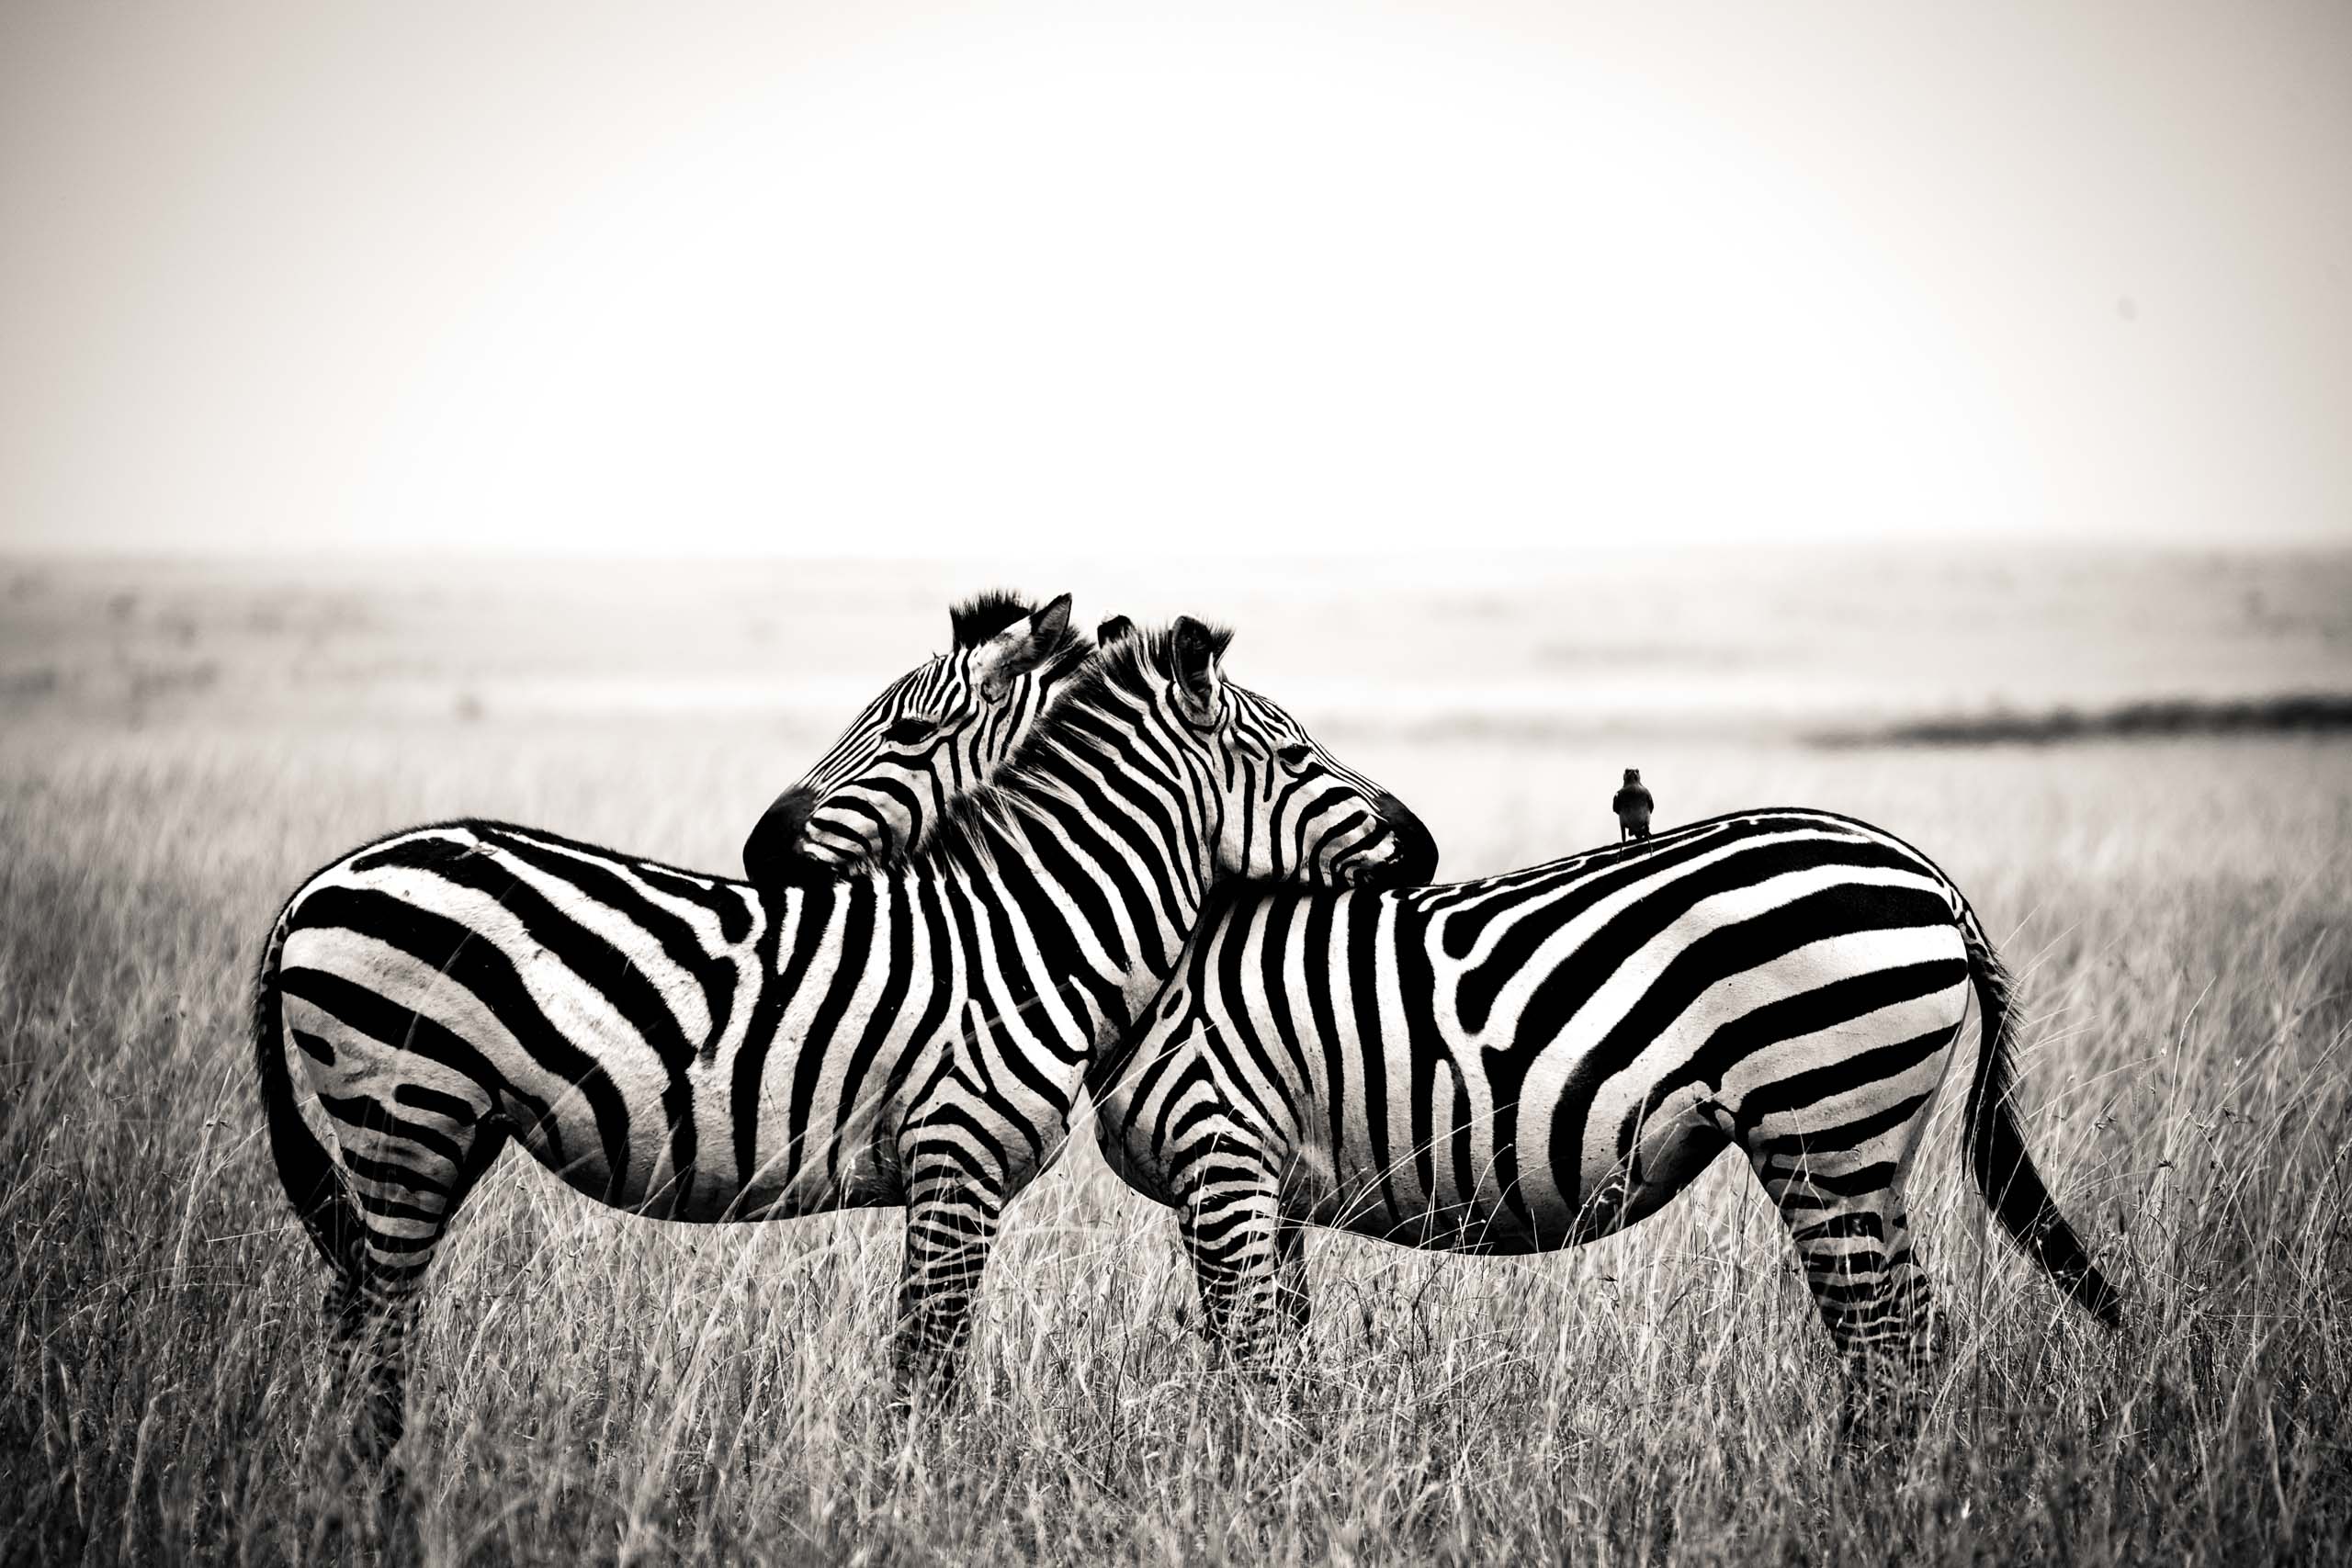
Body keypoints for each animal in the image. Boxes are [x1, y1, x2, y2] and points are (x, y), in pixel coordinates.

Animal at [252, 616, 1435, 1459]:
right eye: (1297, 753)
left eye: (905, 731)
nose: (1420, 846)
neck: (1033, 929)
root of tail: (318, 882)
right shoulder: (956, 1162)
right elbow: (928, 1366)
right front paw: (919, 1502)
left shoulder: (956, 1176)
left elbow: (928, 1359)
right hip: (405, 1107)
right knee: (377, 1325)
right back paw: (383, 1496)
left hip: (437, 1124)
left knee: (358, 1310)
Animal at [1087, 807, 2123, 1432]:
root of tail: (1927, 876)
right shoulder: (1270, 1188)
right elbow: (1283, 1345)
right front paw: (1299, 1463)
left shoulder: (1222, 1155)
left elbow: (1247, 1353)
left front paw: (1255, 1478)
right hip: (1871, 1151)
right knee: (1914, 1323)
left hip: (1821, 1129)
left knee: (1880, 1339)